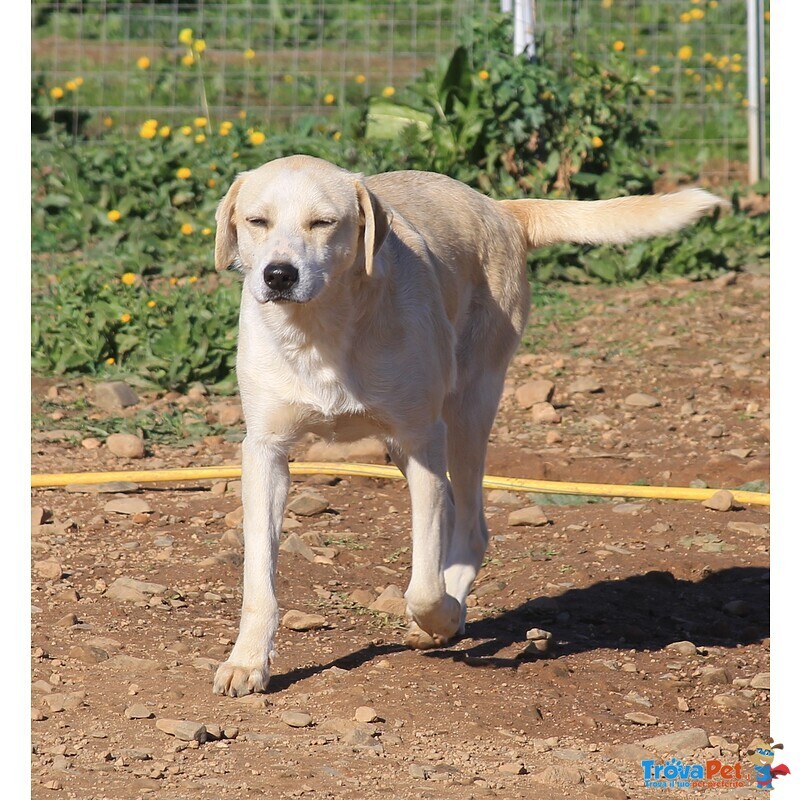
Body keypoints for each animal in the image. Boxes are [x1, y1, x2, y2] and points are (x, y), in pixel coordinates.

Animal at [209, 155, 720, 692]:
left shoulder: (423, 437)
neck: (320, 331)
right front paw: (248, 661)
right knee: (453, 512)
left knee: (470, 526)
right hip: (410, 443)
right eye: (257, 221)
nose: (279, 275)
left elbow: (424, 587)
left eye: (323, 223)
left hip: (466, 411)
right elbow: (259, 577)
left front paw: (443, 617)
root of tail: (500, 209)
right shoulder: (265, 451)